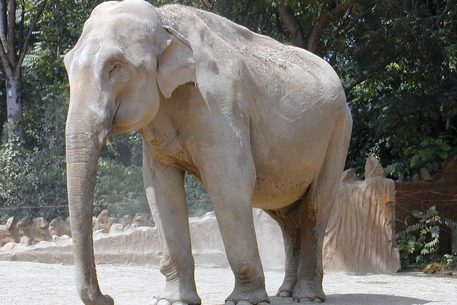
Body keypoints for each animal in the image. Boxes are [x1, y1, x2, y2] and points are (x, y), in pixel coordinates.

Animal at [63, 0, 350, 304]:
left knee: (315, 207)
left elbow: (230, 182)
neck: (164, 19)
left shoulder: (218, 104)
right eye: (66, 65)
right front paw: (172, 301)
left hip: (339, 131)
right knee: (287, 218)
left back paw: (307, 296)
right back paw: (285, 293)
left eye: (116, 66)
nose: (108, 297)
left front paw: (244, 301)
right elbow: (161, 190)